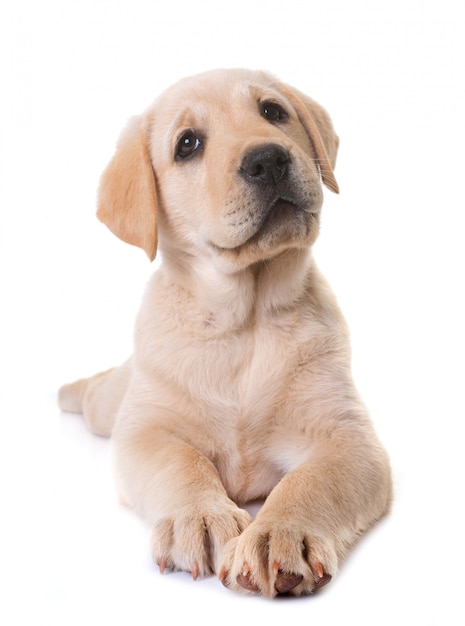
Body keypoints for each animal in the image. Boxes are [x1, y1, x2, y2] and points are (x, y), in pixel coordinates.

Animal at [58, 67, 392, 596]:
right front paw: (199, 517)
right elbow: (182, 463)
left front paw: (280, 532)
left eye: (273, 111)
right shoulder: (145, 432)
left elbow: (309, 482)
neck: (245, 321)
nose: (268, 159)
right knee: (96, 393)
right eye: (187, 144)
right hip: (112, 406)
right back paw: (69, 390)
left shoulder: (349, 439)